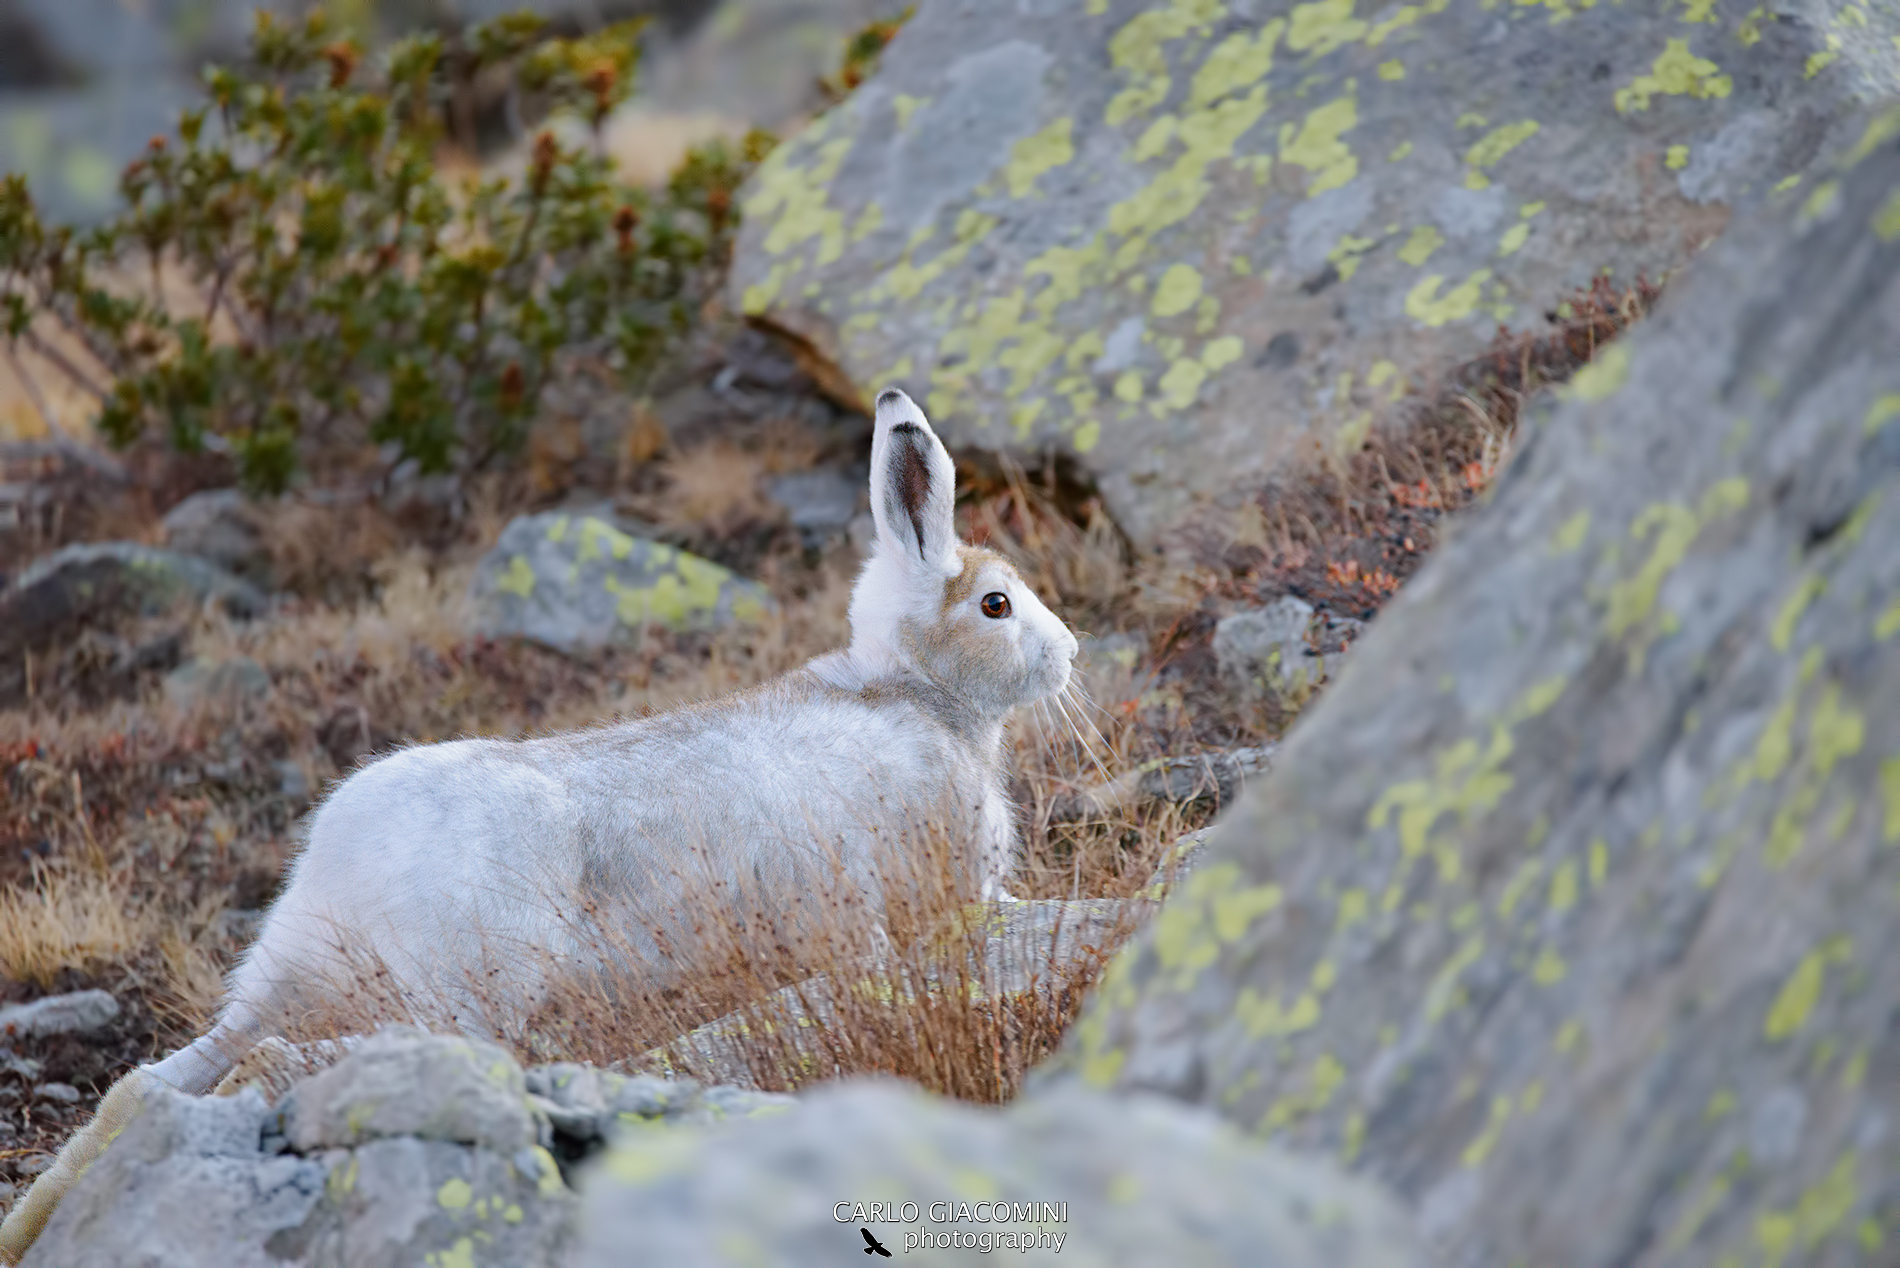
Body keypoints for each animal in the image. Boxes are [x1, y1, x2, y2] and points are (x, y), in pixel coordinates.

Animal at [0, 387, 1080, 1264]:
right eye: (997, 604)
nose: (1069, 651)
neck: (912, 690)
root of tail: (342, 870)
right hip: (461, 999)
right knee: (273, 1069)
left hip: (295, 976)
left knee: (158, 1077)